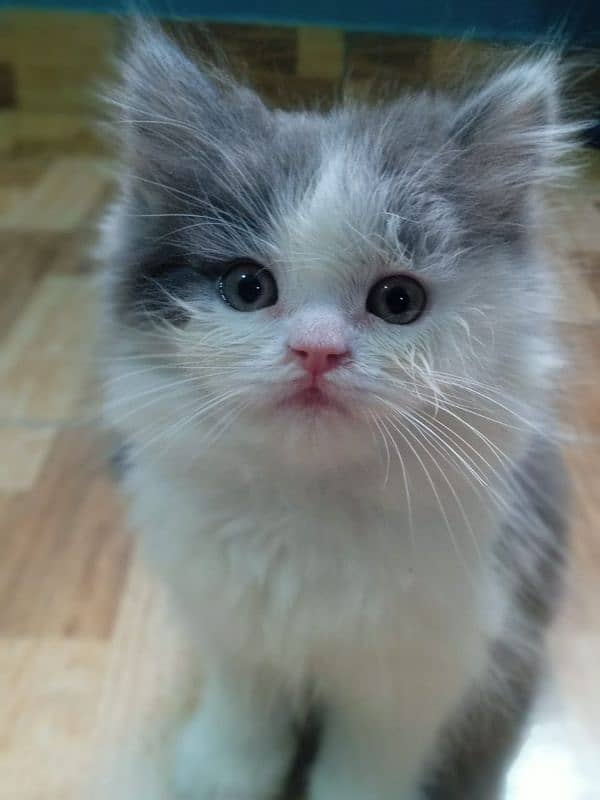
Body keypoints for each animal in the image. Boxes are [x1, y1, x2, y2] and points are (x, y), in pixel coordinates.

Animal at [101, 25, 576, 800]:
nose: (317, 351)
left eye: (398, 301)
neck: (309, 510)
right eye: (246, 287)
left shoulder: (418, 671)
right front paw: (223, 773)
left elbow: (365, 762)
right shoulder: (237, 634)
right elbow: (245, 714)